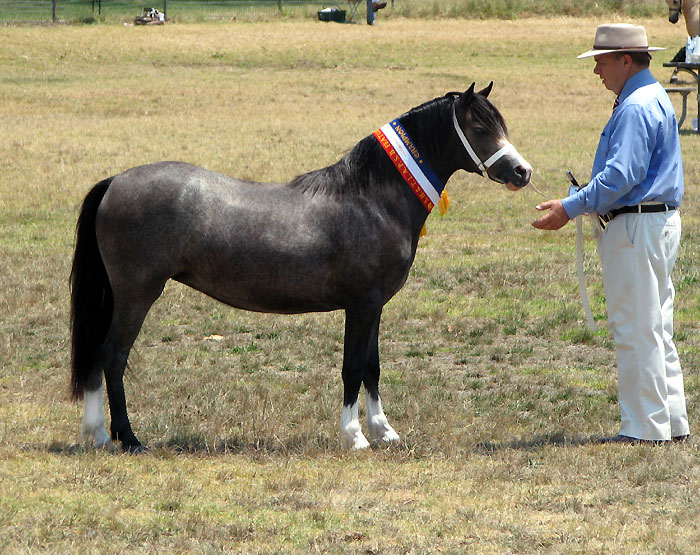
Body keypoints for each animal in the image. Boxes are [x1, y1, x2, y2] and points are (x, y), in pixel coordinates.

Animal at [70, 83, 532, 453]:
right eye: (479, 129)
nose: (522, 171)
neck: (371, 198)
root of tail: (115, 181)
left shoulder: (375, 306)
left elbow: (372, 366)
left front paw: (384, 431)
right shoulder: (361, 304)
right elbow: (352, 367)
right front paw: (355, 436)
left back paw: (99, 434)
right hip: (137, 294)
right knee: (112, 356)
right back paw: (127, 437)